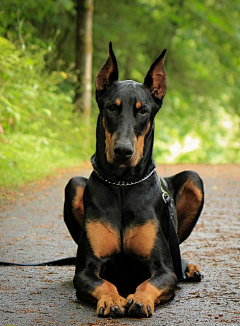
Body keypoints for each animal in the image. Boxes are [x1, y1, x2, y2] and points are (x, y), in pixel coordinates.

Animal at [63, 44, 202, 318]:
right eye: (112, 107)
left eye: (142, 110)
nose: (122, 151)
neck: (122, 184)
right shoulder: (85, 270)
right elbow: (104, 282)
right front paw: (112, 299)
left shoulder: (163, 269)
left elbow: (151, 281)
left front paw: (139, 299)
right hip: (73, 185)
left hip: (194, 180)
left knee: (178, 257)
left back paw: (187, 267)